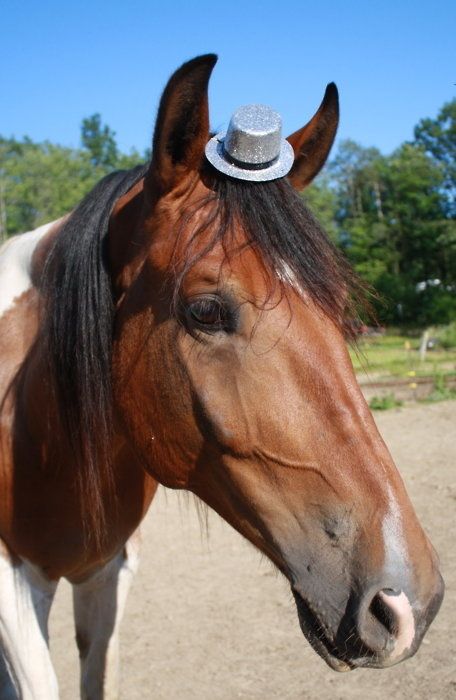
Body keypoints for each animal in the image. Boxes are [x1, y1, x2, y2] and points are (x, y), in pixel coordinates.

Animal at [0, 56, 444, 700]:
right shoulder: (13, 587)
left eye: (340, 306)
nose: (407, 601)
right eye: (206, 311)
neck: (35, 428)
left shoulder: (109, 572)